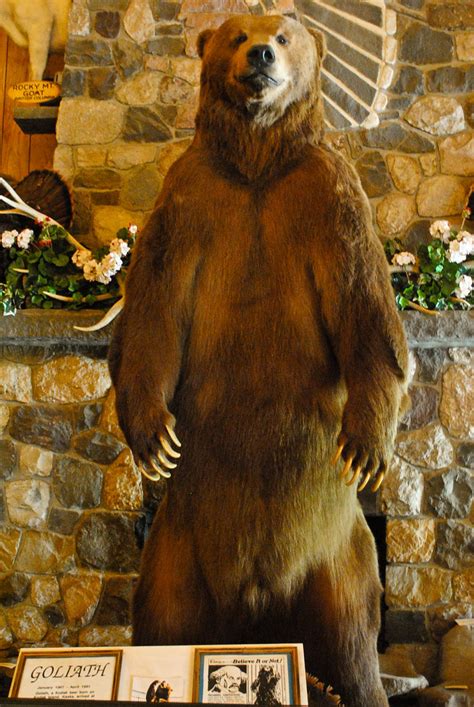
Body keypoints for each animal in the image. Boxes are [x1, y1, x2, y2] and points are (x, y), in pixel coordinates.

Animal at [108, 14, 409, 707]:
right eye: (236, 33)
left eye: (287, 33)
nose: (263, 54)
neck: (256, 163)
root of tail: (256, 616)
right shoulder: (190, 199)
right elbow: (153, 311)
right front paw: (155, 439)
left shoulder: (328, 197)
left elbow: (366, 309)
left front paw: (365, 445)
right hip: (176, 550)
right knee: (160, 615)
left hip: (337, 557)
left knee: (354, 634)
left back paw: (343, 684)